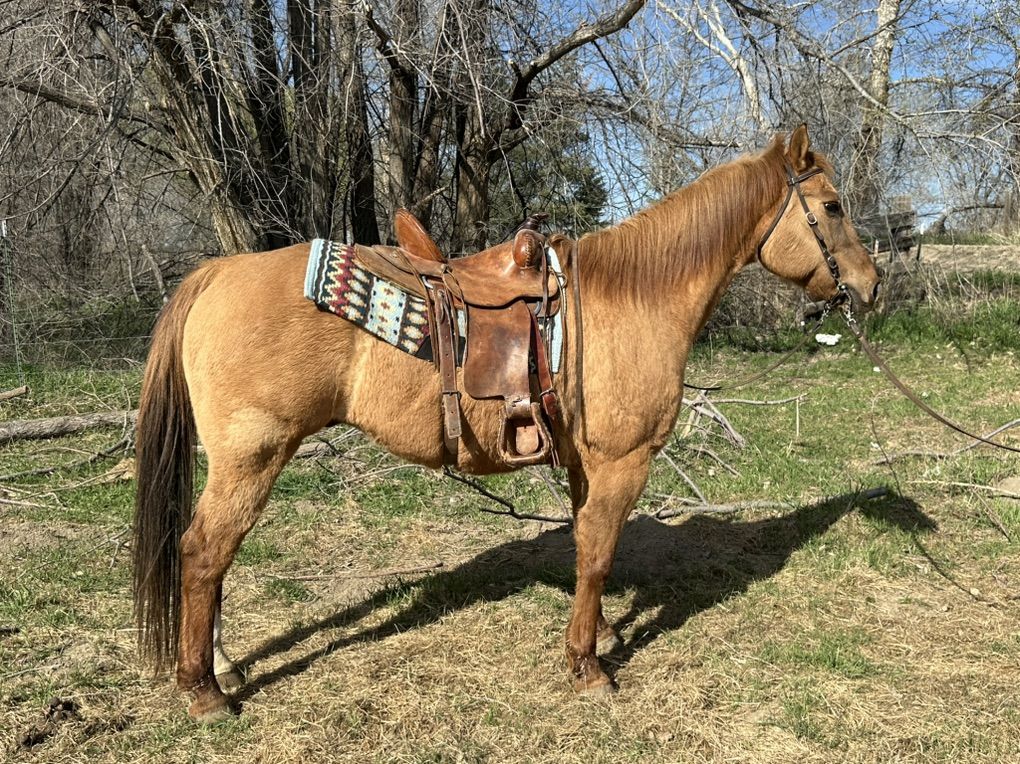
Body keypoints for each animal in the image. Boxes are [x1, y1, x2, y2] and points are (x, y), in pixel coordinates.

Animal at [133, 125, 882, 722]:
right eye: (833, 206)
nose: (871, 287)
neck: (635, 298)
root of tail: (217, 273)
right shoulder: (623, 460)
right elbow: (599, 554)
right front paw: (587, 668)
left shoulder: (587, 465)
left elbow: (587, 547)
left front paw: (601, 637)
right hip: (253, 457)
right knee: (203, 552)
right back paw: (204, 691)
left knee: (211, 557)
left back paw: (223, 665)